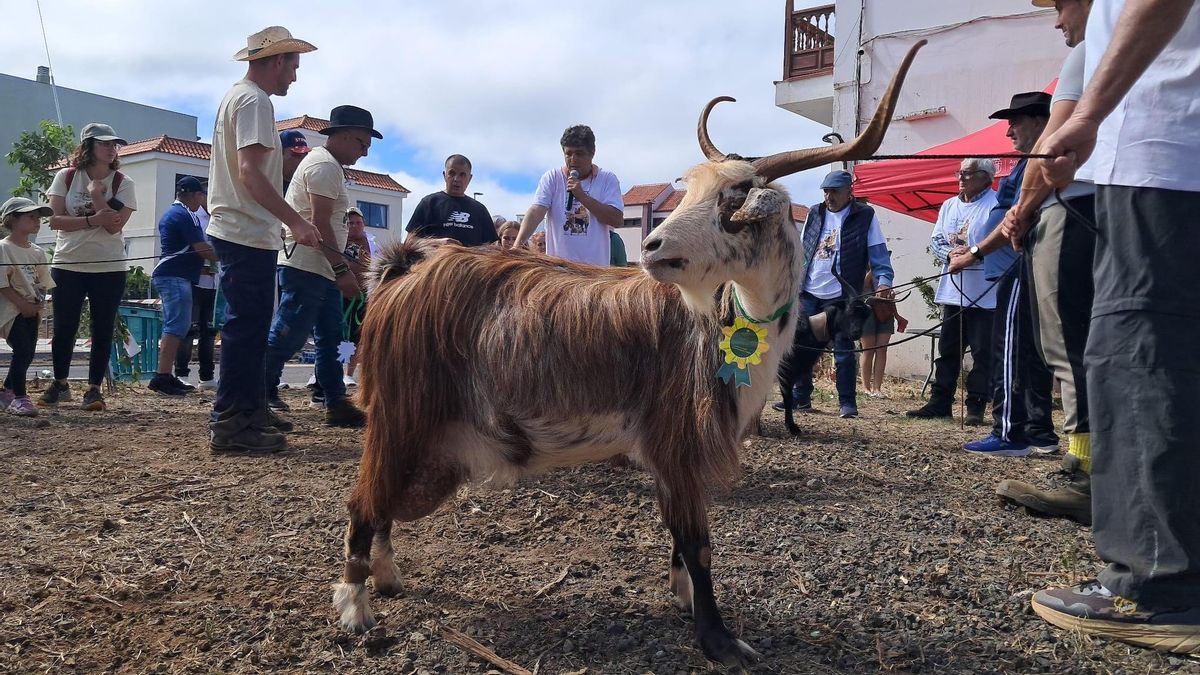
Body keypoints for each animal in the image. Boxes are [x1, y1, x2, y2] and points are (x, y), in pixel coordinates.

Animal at [334, 41, 924, 668]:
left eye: (734, 198)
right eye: (693, 192)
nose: (654, 246)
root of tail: (403, 269)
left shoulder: (672, 454)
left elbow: (682, 540)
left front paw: (684, 600)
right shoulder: (677, 435)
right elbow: (697, 541)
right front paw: (720, 640)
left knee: (381, 502)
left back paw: (387, 578)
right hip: (403, 416)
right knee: (363, 501)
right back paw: (355, 609)